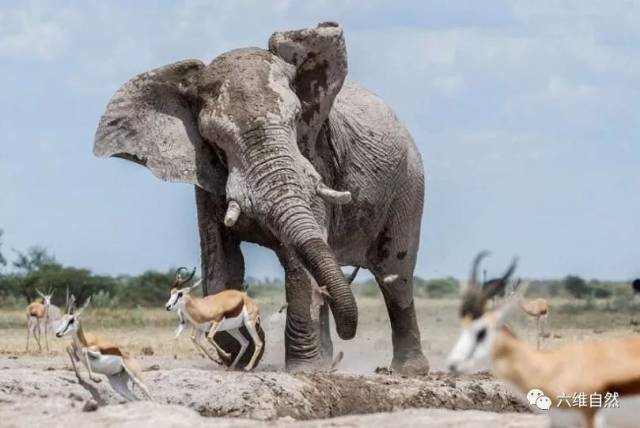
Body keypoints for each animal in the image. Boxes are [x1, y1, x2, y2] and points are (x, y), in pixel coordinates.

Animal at [94, 21, 424, 372]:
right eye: (215, 138)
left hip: (409, 184)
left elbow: (299, 262)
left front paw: (302, 369)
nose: (348, 333)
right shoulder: (206, 179)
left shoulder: (313, 158)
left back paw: (405, 370)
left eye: (296, 120)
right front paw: (240, 357)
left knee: (395, 276)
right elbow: (220, 260)